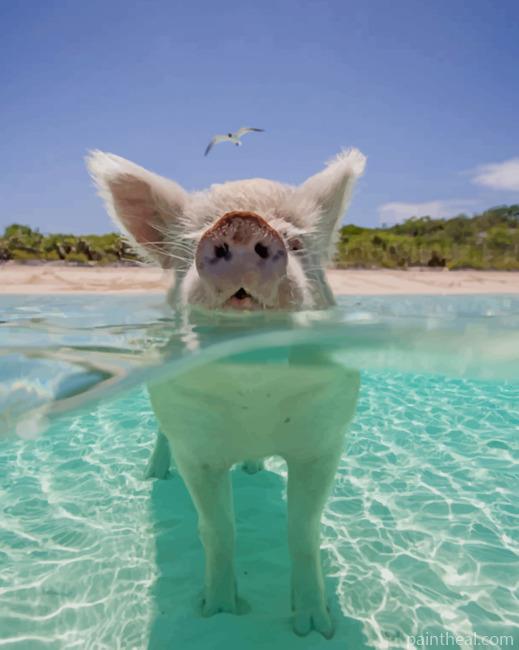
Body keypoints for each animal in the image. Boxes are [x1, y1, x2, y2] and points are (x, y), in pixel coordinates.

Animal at [87, 148, 365, 638]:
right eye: (188, 245)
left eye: (296, 243)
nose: (240, 222)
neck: (253, 396)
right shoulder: (195, 447)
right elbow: (218, 529)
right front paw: (216, 613)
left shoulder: (324, 440)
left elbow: (303, 530)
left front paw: (316, 628)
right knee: (161, 438)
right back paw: (153, 475)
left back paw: (253, 468)